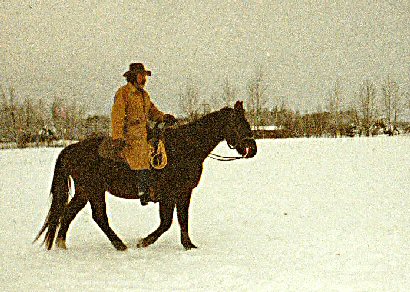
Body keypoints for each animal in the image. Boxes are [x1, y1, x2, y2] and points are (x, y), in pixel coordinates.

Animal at [34, 101, 256, 251]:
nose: (252, 148)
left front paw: (188, 245)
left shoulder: (183, 192)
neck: (185, 147)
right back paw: (119, 244)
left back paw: (62, 244)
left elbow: (182, 219)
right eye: (239, 123)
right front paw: (144, 242)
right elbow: (167, 222)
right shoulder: (169, 194)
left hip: (84, 191)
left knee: (68, 213)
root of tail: (71, 149)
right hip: (93, 190)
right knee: (99, 217)